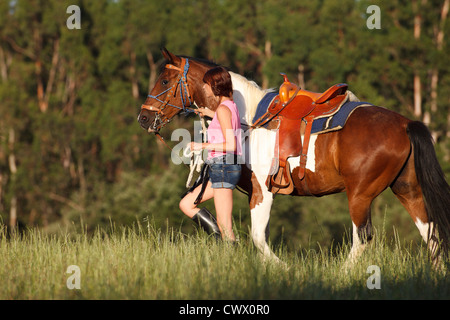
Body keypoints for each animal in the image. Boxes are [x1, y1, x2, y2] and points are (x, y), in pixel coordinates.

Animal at [137, 47, 450, 264]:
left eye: (164, 80)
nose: (143, 118)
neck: (249, 119)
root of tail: (405, 123)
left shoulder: (263, 191)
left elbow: (258, 237)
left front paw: (282, 269)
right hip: (407, 189)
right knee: (430, 232)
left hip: (360, 194)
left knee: (362, 237)